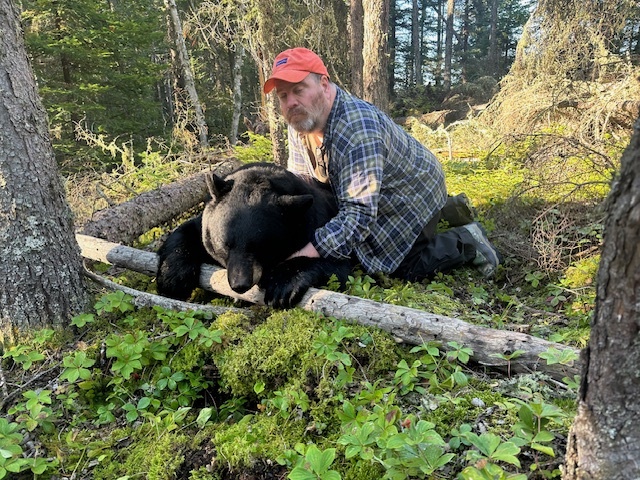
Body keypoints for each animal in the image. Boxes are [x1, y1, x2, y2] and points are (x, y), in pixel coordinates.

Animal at [156, 162, 351, 308]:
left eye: (261, 246)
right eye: (225, 245)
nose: (240, 284)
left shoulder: (315, 222)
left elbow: (338, 267)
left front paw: (283, 284)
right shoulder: (204, 222)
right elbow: (186, 231)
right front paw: (172, 280)